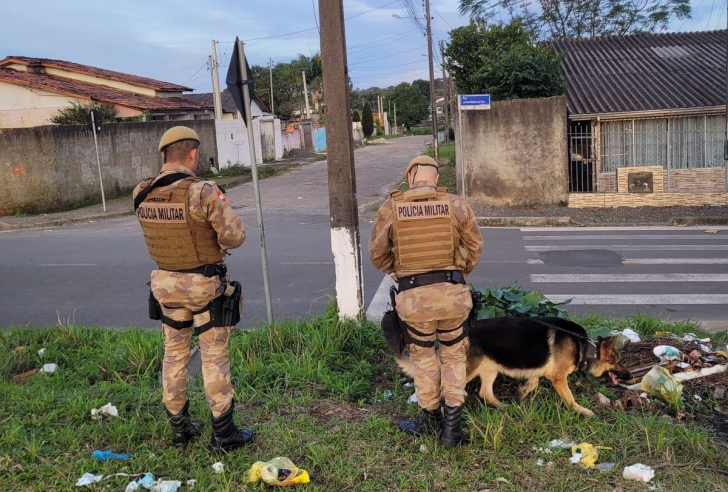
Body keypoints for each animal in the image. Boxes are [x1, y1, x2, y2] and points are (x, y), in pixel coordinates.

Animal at [396, 318, 628, 418]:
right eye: (617, 361)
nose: (628, 376)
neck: (585, 346)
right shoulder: (558, 378)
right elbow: (570, 398)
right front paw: (582, 411)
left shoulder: (541, 371)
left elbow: (533, 382)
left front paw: (520, 394)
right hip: (467, 370)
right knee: (446, 388)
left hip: (490, 369)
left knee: (485, 392)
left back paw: (504, 406)